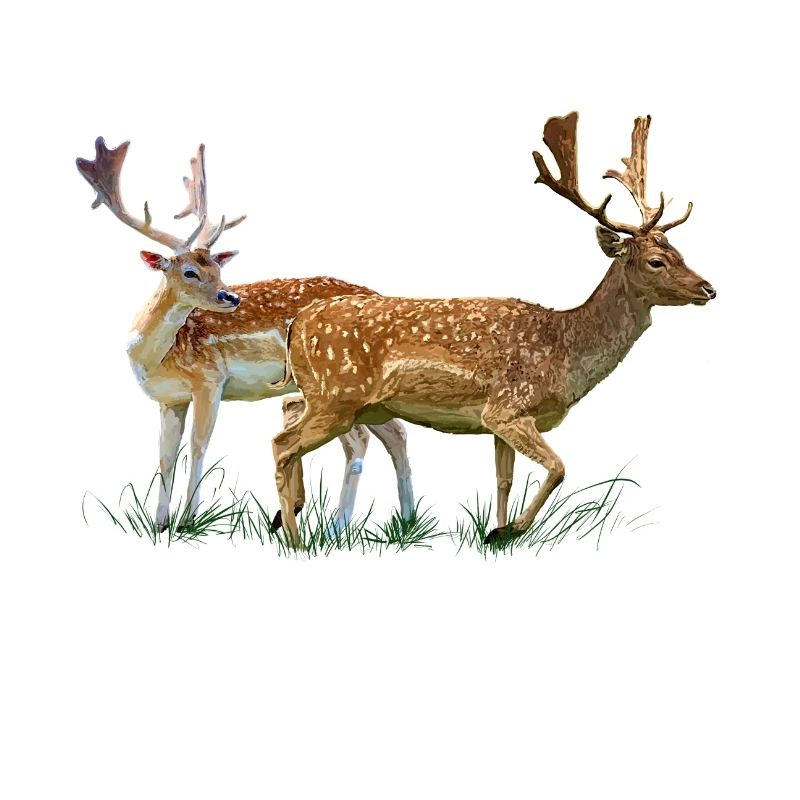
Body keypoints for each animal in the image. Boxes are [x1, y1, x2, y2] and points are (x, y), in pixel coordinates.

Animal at [76, 138, 415, 534]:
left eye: (218, 268)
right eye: (190, 271)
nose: (231, 297)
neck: (156, 357)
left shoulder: (210, 381)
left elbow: (198, 447)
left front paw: (188, 521)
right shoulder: (169, 399)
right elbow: (165, 456)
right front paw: (158, 524)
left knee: (360, 441)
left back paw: (336, 527)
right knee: (395, 432)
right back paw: (405, 520)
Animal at [270, 112, 716, 548]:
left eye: (681, 252)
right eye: (656, 261)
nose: (708, 288)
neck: (564, 349)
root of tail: (297, 324)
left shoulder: (496, 422)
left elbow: (504, 480)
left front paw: (496, 533)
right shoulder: (508, 407)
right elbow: (558, 467)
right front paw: (511, 529)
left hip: (333, 398)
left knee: (289, 424)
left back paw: (289, 520)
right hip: (337, 397)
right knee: (282, 446)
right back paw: (294, 539)